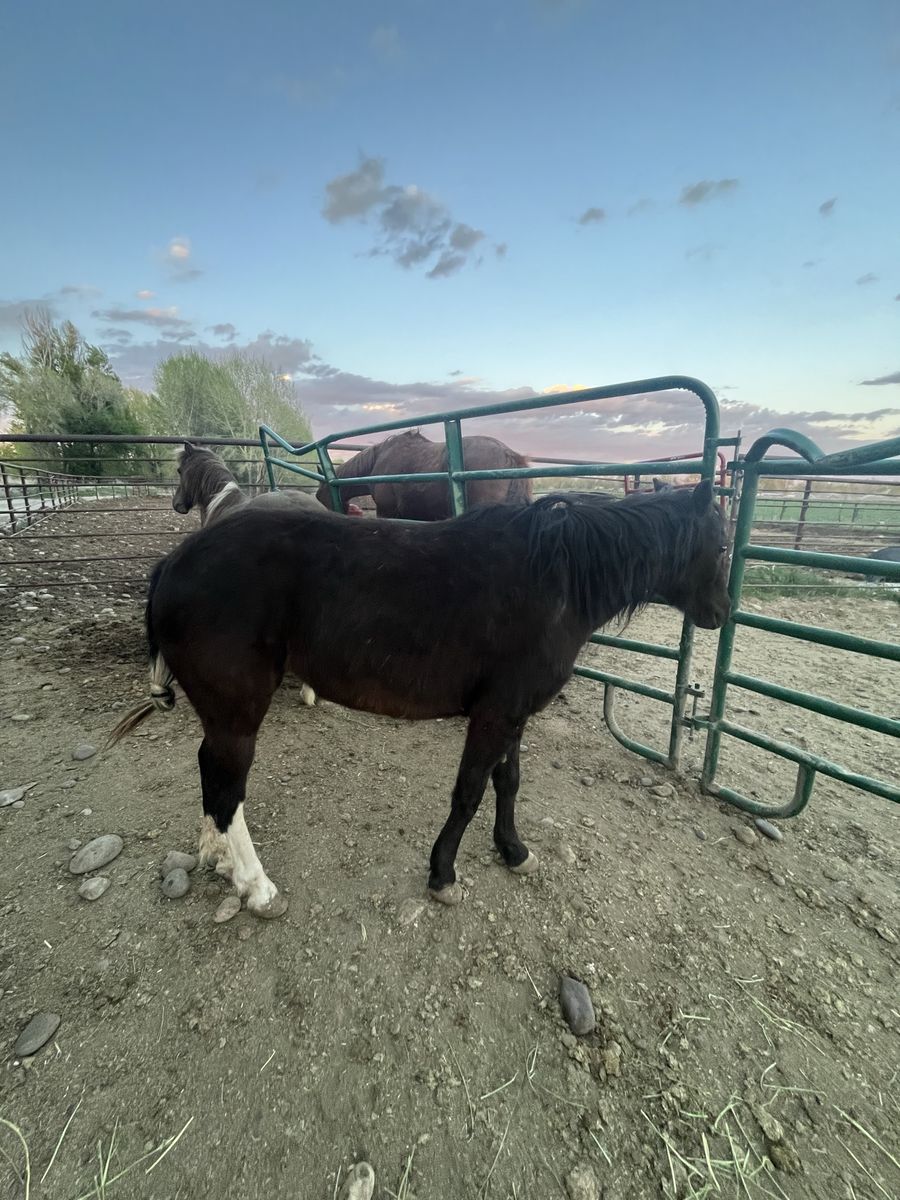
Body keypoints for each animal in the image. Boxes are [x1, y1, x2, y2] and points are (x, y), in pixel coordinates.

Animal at [109, 481, 731, 919]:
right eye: (723, 544)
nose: (722, 613)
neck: (553, 580)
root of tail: (173, 564)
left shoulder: (512, 713)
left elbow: (508, 783)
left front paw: (514, 851)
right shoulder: (494, 716)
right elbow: (469, 792)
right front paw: (444, 875)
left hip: (221, 715)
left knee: (210, 774)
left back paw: (215, 856)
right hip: (238, 716)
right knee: (227, 788)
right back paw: (256, 886)